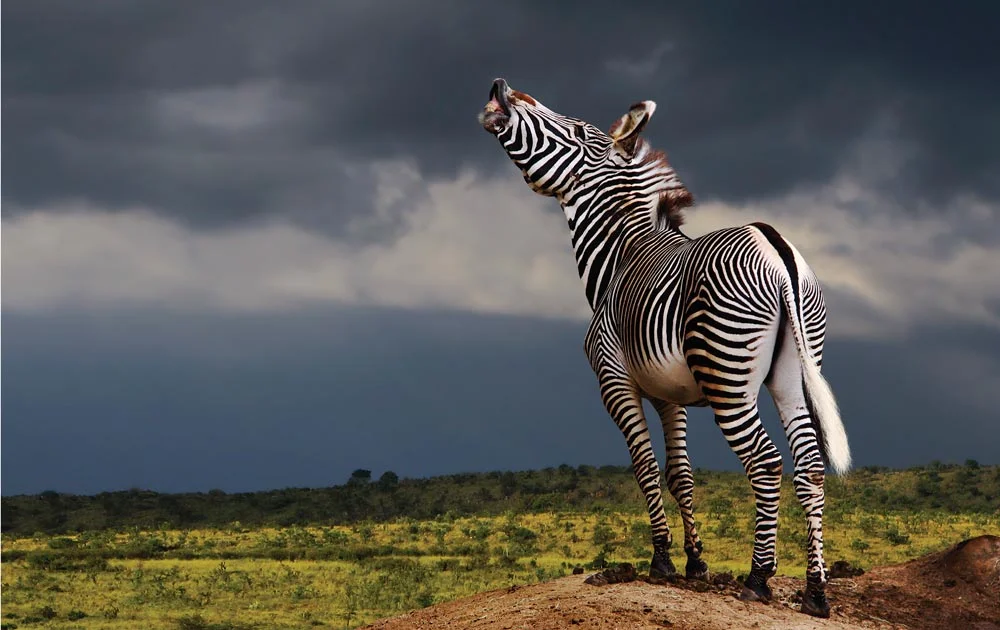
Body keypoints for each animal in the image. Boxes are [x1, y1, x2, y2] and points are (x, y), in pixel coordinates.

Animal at [480, 76, 848, 620]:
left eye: (576, 130)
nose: (502, 87)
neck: (620, 258)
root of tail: (774, 245)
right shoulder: (669, 395)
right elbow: (681, 474)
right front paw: (696, 563)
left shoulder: (615, 382)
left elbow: (646, 468)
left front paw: (662, 562)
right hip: (793, 373)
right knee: (809, 467)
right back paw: (816, 591)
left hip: (728, 377)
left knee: (765, 462)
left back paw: (759, 579)